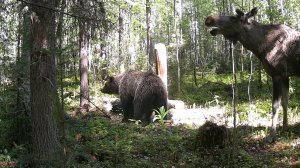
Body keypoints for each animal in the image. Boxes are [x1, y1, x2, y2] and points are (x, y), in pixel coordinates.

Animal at [205, 7, 300, 142]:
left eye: (234, 17)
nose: (209, 19)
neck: (259, 46)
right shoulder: (285, 75)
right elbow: (285, 102)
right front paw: (285, 127)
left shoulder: (277, 74)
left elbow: (275, 106)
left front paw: (272, 135)